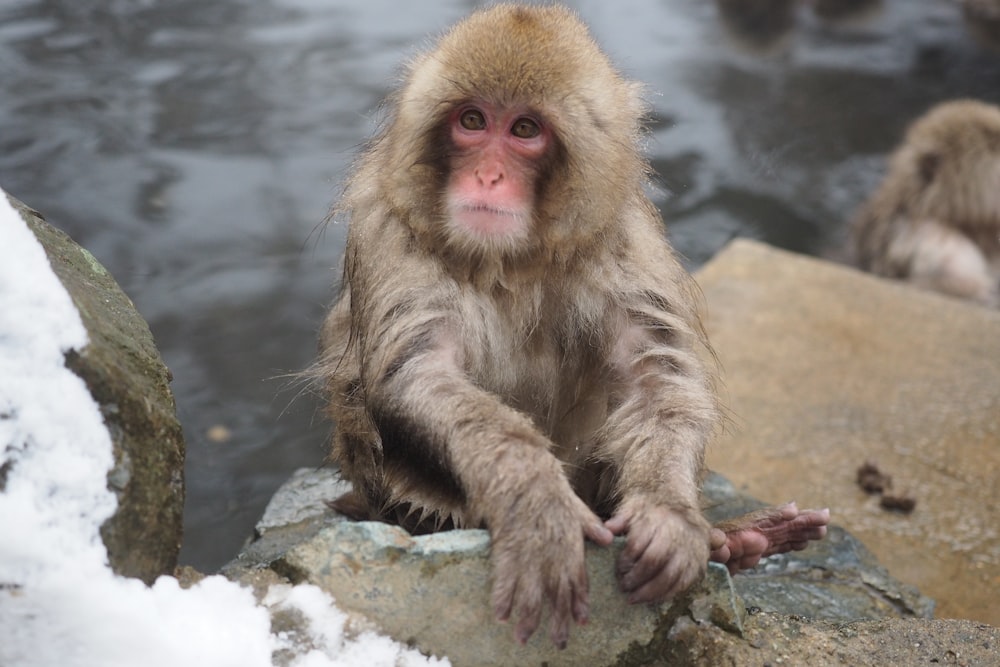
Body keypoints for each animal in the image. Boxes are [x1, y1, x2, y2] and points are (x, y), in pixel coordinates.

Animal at [316, 2, 832, 648]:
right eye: (471, 120)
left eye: (524, 131)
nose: (487, 177)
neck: (512, 260)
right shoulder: (389, 226)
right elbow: (416, 370)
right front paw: (537, 503)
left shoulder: (622, 238)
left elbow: (656, 376)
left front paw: (670, 515)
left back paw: (735, 542)